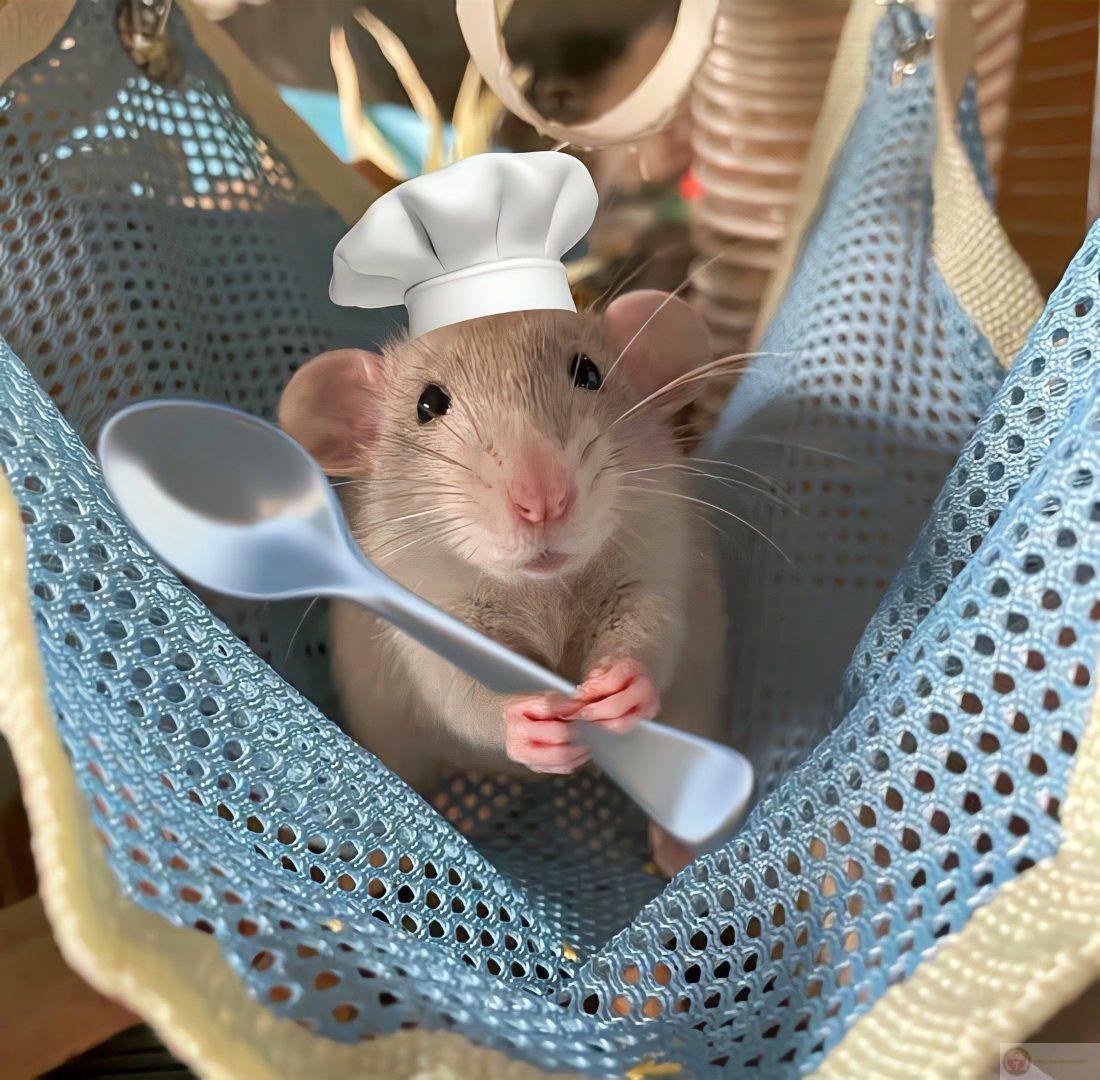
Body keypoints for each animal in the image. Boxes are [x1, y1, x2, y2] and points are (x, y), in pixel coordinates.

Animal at [278, 290, 726, 876]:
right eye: (428, 405)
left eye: (589, 373)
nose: (543, 498)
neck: (542, 587)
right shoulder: (422, 608)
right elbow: (455, 689)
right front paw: (520, 721)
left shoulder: (654, 558)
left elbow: (653, 626)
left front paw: (623, 684)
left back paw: (679, 844)